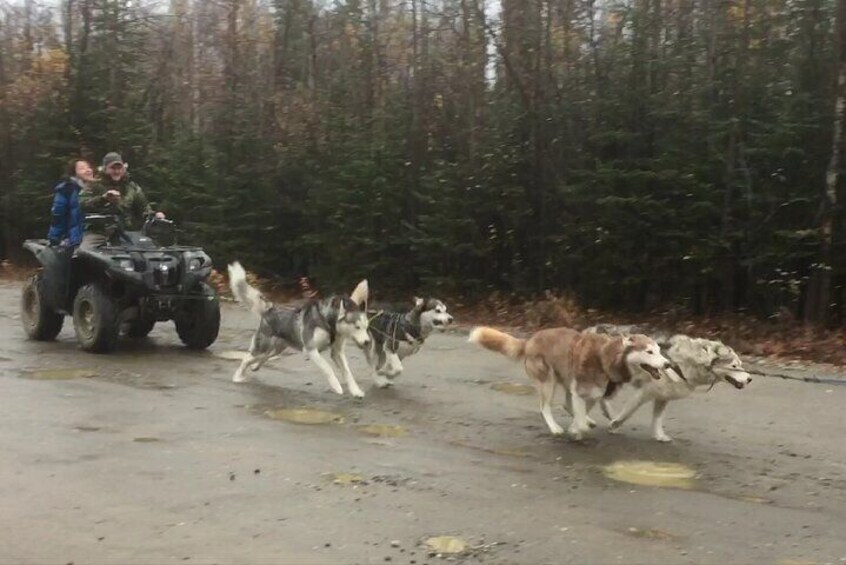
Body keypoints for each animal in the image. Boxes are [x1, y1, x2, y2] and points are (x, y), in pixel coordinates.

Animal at [229, 264, 372, 398]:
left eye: (366, 327)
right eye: (357, 327)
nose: (367, 342)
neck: (328, 323)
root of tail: (270, 309)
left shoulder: (337, 352)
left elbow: (348, 373)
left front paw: (356, 391)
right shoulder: (311, 350)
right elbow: (327, 368)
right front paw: (336, 386)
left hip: (276, 349)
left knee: (261, 358)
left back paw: (255, 367)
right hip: (263, 347)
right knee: (246, 359)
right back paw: (238, 377)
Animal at [470, 324, 676, 438]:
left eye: (659, 351)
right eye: (649, 352)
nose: (668, 364)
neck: (606, 357)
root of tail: (530, 340)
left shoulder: (592, 394)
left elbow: (582, 411)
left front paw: (583, 423)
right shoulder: (580, 392)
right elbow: (580, 420)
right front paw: (576, 430)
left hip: (566, 379)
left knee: (566, 404)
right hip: (548, 382)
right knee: (545, 407)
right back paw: (555, 428)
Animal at [588, 326, 752, 440]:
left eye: (740, 364)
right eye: (734, 366)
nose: (750, 379)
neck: (685, 364)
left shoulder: (663, 396)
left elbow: (657, 419)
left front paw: (659, 436)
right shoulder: (644, 393)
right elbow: (628, 412)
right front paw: (615, 424)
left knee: (602, 398)